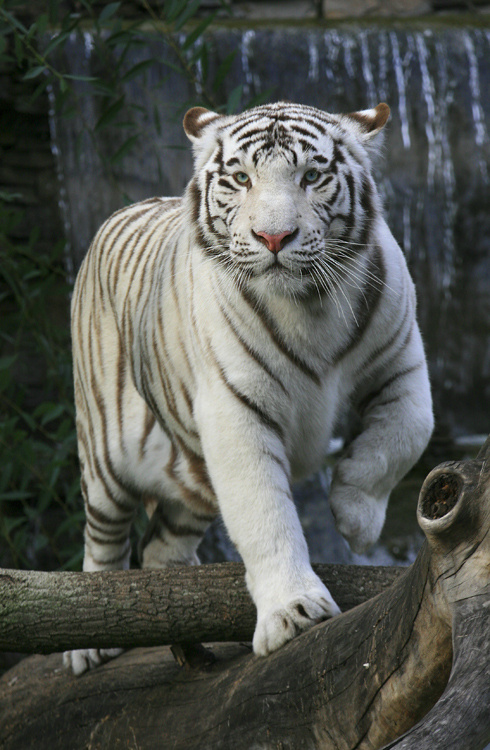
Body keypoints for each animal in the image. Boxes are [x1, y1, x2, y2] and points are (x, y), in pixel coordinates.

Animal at [64, 101, 433, 675]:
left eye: (311, 177)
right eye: (241, 179)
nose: (274, 238)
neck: (310, 305)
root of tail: (121, 212)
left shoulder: (403, 364)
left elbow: (408, 433)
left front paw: (355, 518)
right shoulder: (235, 409)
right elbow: (265, 513)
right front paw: (293, 613)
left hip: (189, 480)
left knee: (160, 545)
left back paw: (181, 608)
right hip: (105, 455)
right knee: (102, 540)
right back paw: (88, 643)